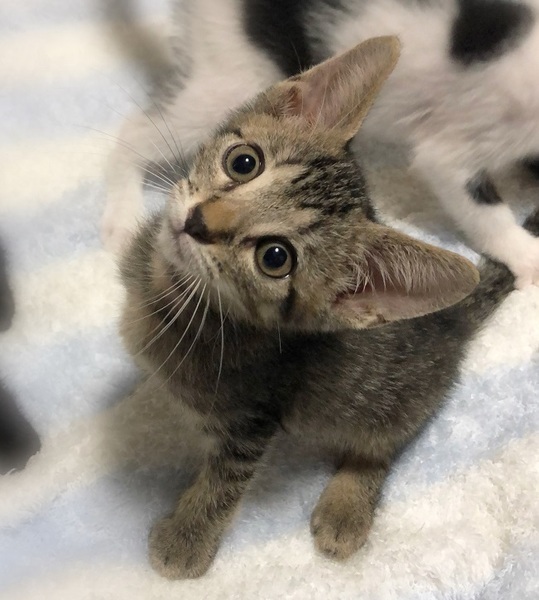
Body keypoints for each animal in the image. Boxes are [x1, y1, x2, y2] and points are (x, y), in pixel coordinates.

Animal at [103, 0, 539, 288]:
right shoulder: (470, 134)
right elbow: (483, 211)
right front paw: (527, 257)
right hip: (235, 74)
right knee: (134, 130)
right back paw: (121, 218)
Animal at [118, 37, 538, 579]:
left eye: (275, 257)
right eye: (243, 162)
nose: (197, 222)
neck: (169, 291)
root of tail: (450, 318)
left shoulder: (253, 420)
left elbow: (223, 484)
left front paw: (186, 541)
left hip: (395, 402)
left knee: (383, 445)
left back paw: (346, 507)